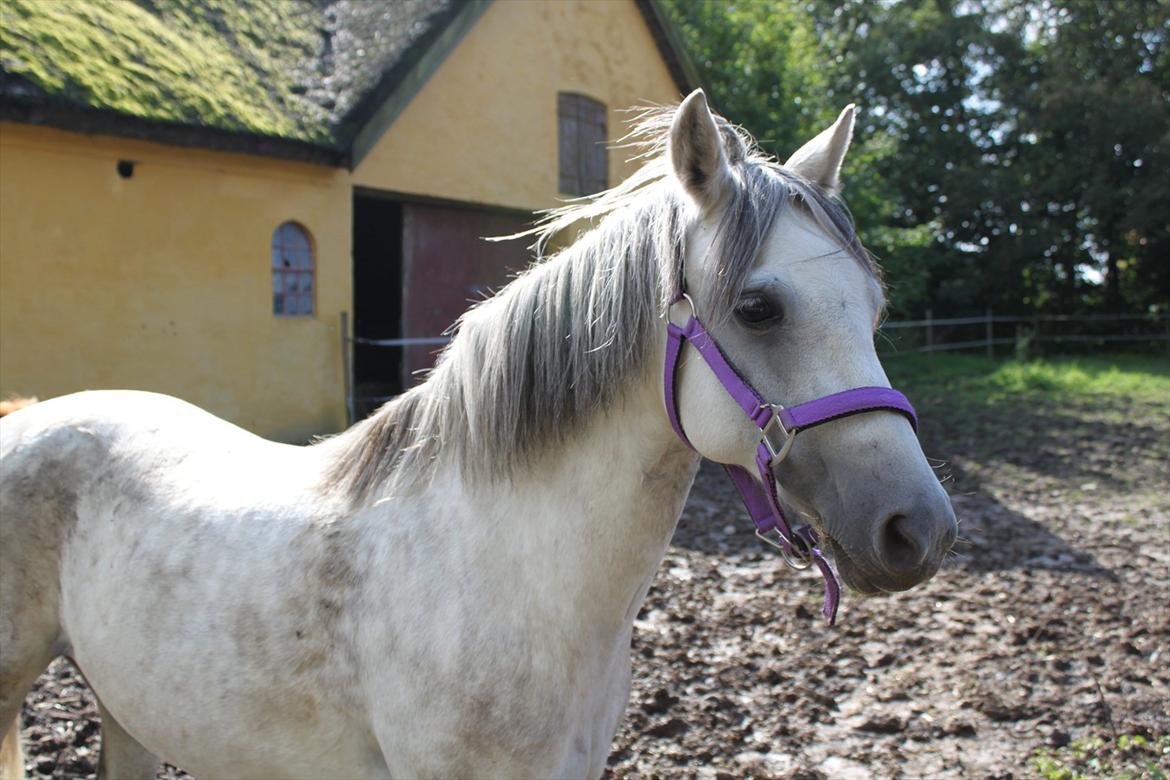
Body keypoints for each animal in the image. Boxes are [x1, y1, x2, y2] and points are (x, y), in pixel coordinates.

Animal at [0, 90, 957, 779]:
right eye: (758, 307)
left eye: (875, 309)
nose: (920, 529)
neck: (511, 570)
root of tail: (31, 417)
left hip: (127, 704)